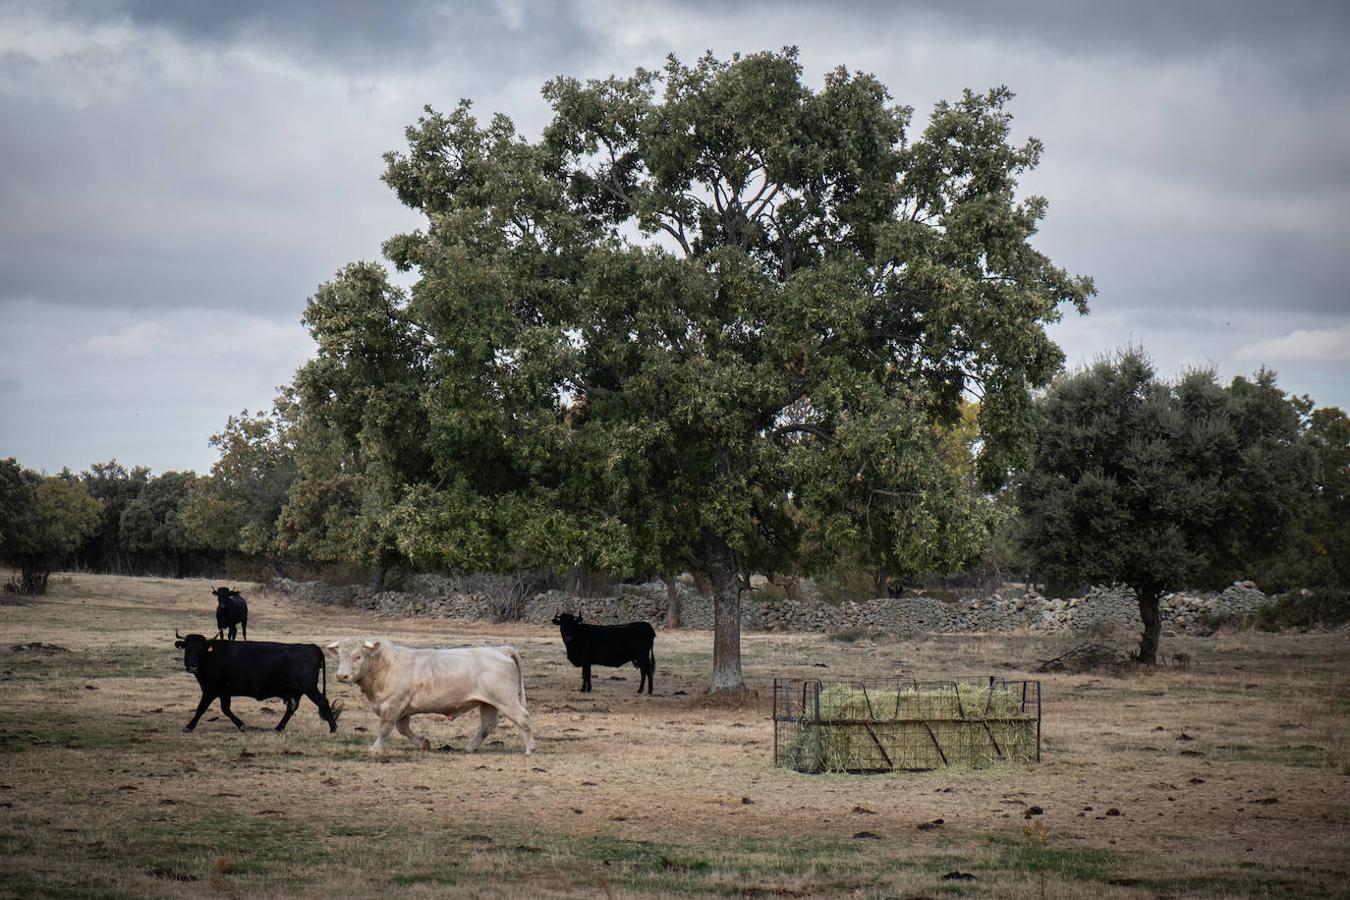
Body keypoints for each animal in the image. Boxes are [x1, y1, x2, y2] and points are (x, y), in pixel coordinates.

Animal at [171, 631, 340, 734]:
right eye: (188, 649)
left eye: (201, 650)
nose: (192, 665)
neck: (211, 656)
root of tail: (312, 647)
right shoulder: (224, 692)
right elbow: (226, 709)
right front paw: (242, 725)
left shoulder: (210, 690)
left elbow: (201, 708)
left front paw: (189, 727)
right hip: (296, 691)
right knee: (291, 709)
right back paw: (278, 728)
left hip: (309, 687)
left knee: (323, 702)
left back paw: (333, 728)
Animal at [324, 636, 534, 755]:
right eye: (340, 657)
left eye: (358, 656)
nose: (342, 676)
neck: (386, 665)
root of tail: (501, 649)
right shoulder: (402, 711)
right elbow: (403, 730)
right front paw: (423, 743)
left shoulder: (392, 706)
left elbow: (385, 729)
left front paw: (375, 748)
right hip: (488, 703)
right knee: (487, 725)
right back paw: (470, 747)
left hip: (506, 700)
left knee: (523, 718)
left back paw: (530, 749)